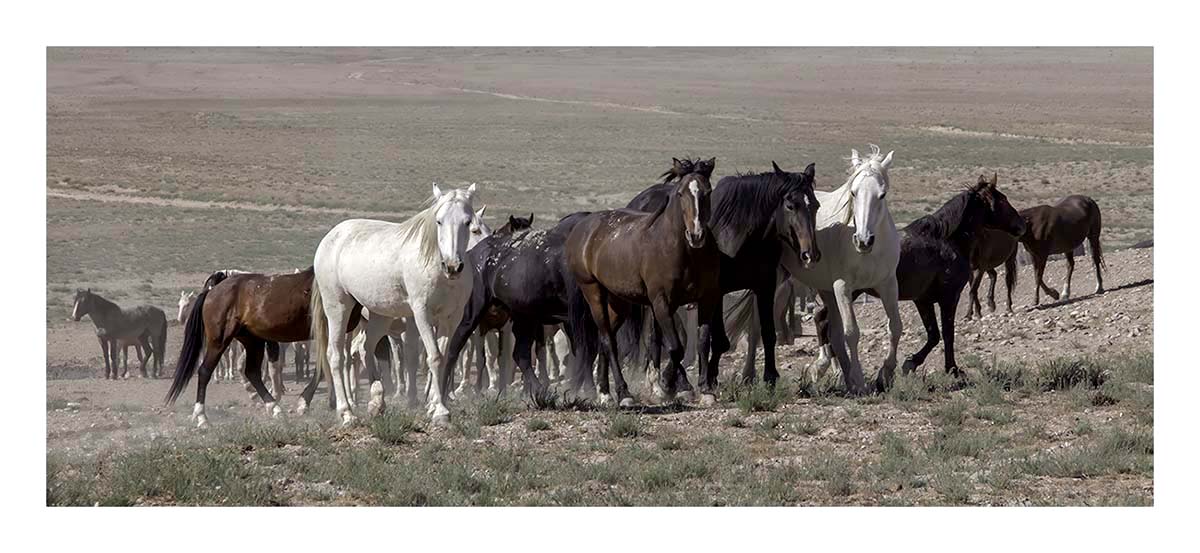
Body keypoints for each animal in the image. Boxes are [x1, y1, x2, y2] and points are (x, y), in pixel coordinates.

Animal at [309, 183, 479, 426]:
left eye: (468, 222)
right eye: (439, 221)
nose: (452, 266)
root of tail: (331, 237)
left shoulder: (451, 319)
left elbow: (444, 358)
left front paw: (434, 405)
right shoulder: (422, 314)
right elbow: (434, 357)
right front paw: (440, 412)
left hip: (379, 315)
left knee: (366, 348)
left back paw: (377, 402)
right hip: (338, 308)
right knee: (336, 355)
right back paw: (347, 413)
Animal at [566, 163, 722, 406]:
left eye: (708, 192)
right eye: (680, 193)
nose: (696, 235)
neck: (686, 253)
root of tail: (582, 228)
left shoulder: (707, 299)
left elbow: (703, 342)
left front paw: (706, 390)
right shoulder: (661, 303)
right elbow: (675, 347)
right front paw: (667, 386)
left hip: (619, 302)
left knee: (605, 338)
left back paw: (604, 393)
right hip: (593, 292)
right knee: (608, 340)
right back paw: (623, 394)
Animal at [621, 158, 821, 400]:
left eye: (816, 205)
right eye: (790, 205)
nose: (810, 254)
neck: (743, 235)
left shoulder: (765, 287)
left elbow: (766, 333)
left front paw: (769, 378)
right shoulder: (716, 291)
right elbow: (714, 340)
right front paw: (703, 380)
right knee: (656, 336)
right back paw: (668, 381)